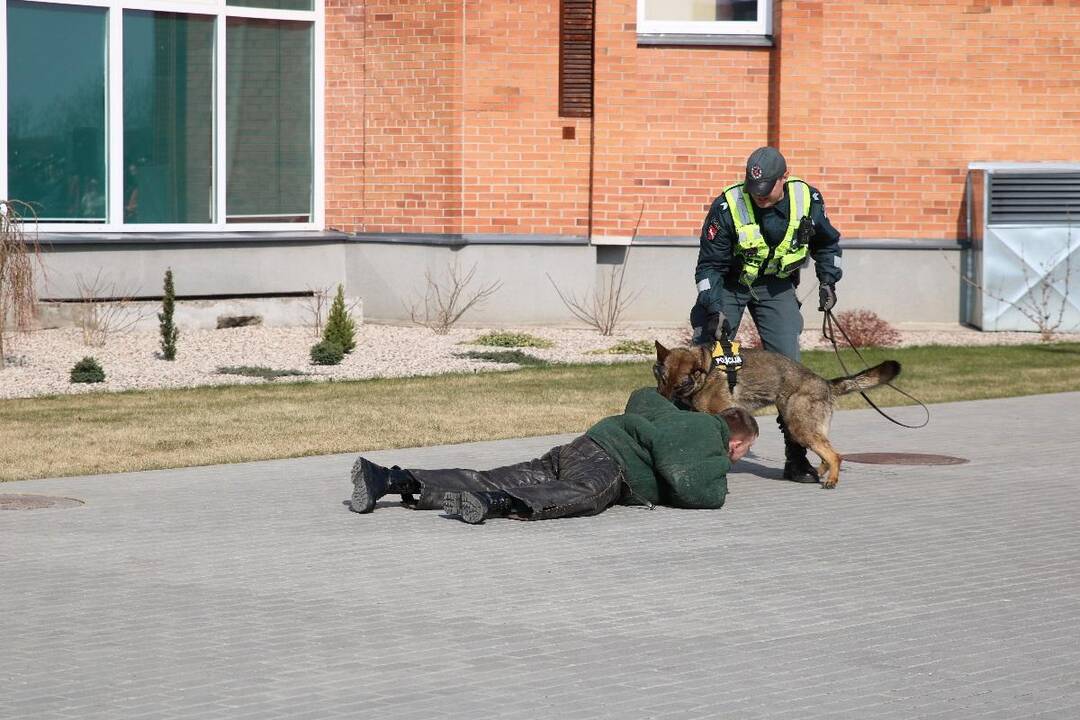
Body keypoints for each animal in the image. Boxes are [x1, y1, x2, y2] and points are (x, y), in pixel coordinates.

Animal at [652, 343, 898, 490]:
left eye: (680, 384)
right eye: (662, 379)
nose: (662, 399)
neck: (706, 370)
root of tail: (825, 383)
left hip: (799, 427)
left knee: (835, 455)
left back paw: (831, 479)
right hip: (805, 429)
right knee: (826, 454)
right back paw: (817, 472)